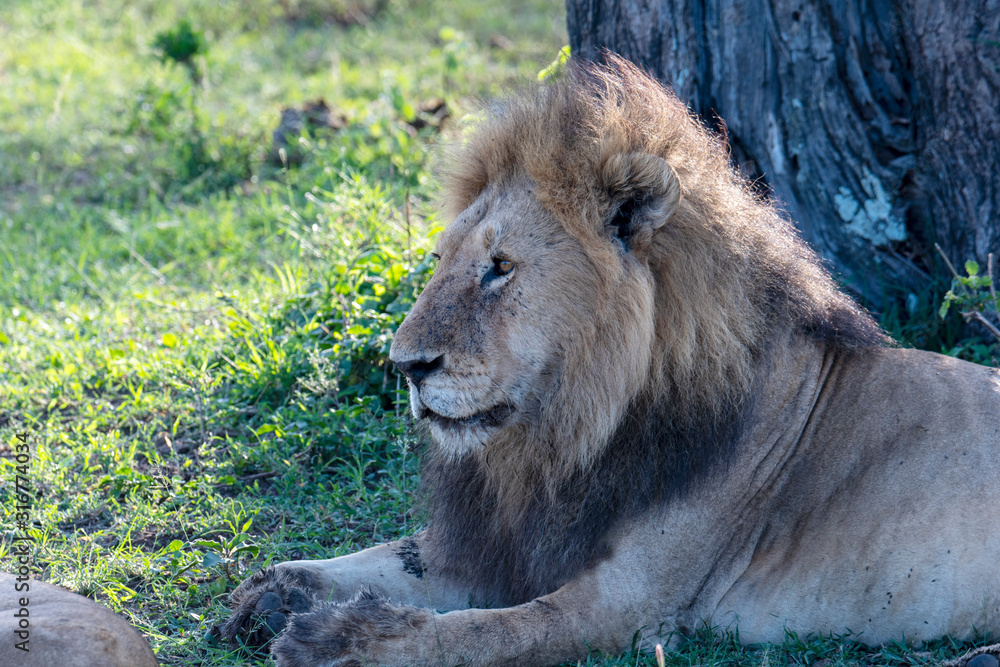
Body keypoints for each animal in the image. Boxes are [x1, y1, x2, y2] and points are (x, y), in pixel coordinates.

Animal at [221, 54, 1000, 664]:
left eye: (500, 267)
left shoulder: (630, 607)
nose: (404, 364)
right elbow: (392, 554)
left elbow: (489, 633)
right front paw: (277, 590)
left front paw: (342, 642)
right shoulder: (507, 540)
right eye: (441, 261)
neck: (568, 435)